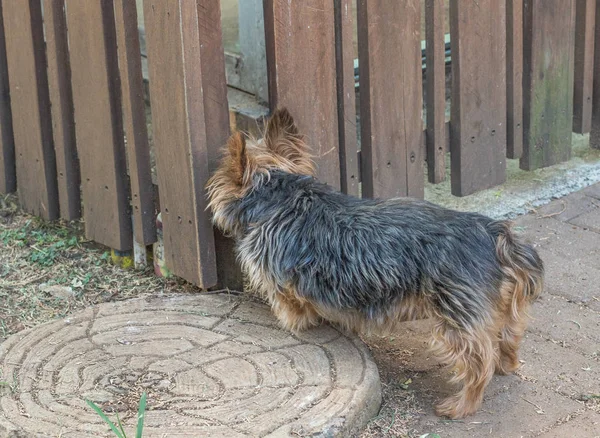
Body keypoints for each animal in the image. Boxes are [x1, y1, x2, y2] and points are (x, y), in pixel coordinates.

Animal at [206, 108, 544, 420]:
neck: (280, 197)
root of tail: (493, 232)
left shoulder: (282, 283)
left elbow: (294, 309)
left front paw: (294, 324)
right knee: (509, 333)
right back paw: (506, 365)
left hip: (457, 314)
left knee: (478, 361)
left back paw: (461, 405)